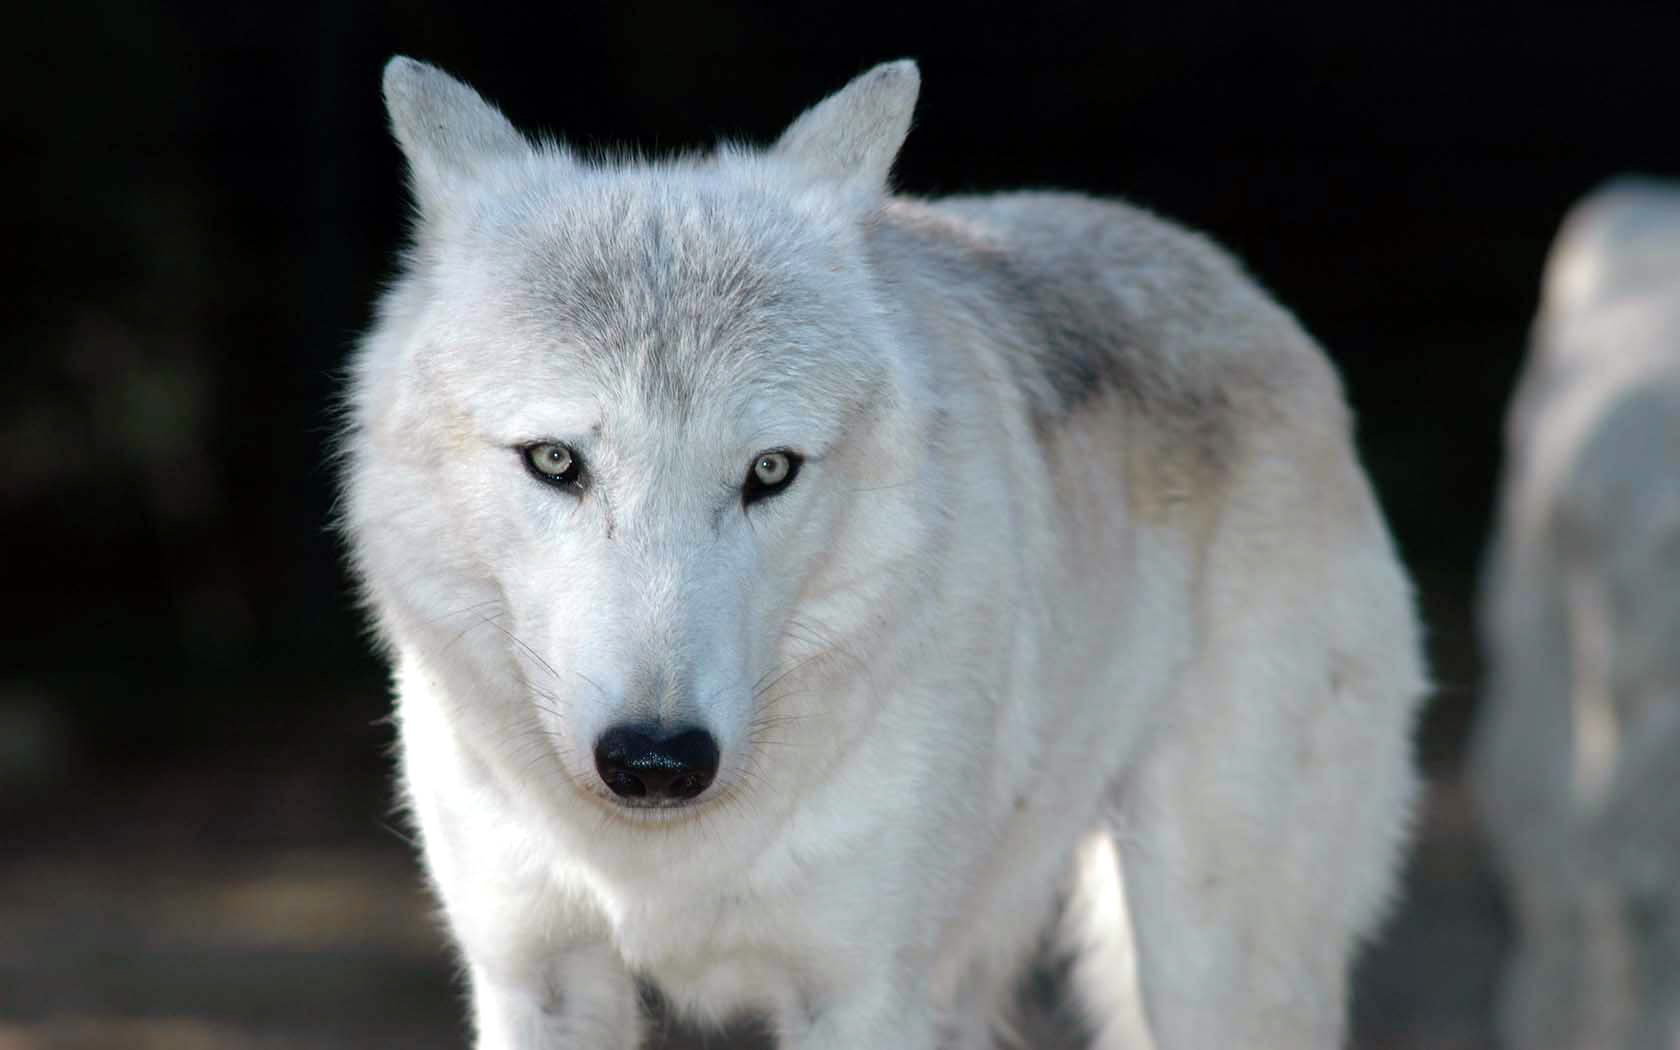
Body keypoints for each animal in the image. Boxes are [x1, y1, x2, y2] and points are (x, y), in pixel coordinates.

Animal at [341, 57, 1431, 1048]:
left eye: (770, 470)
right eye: (556, 460)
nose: (657, 762)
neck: (660, 863)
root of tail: (1240, 287)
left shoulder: (864, 998)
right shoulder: (536, 979)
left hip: (1208, 962)